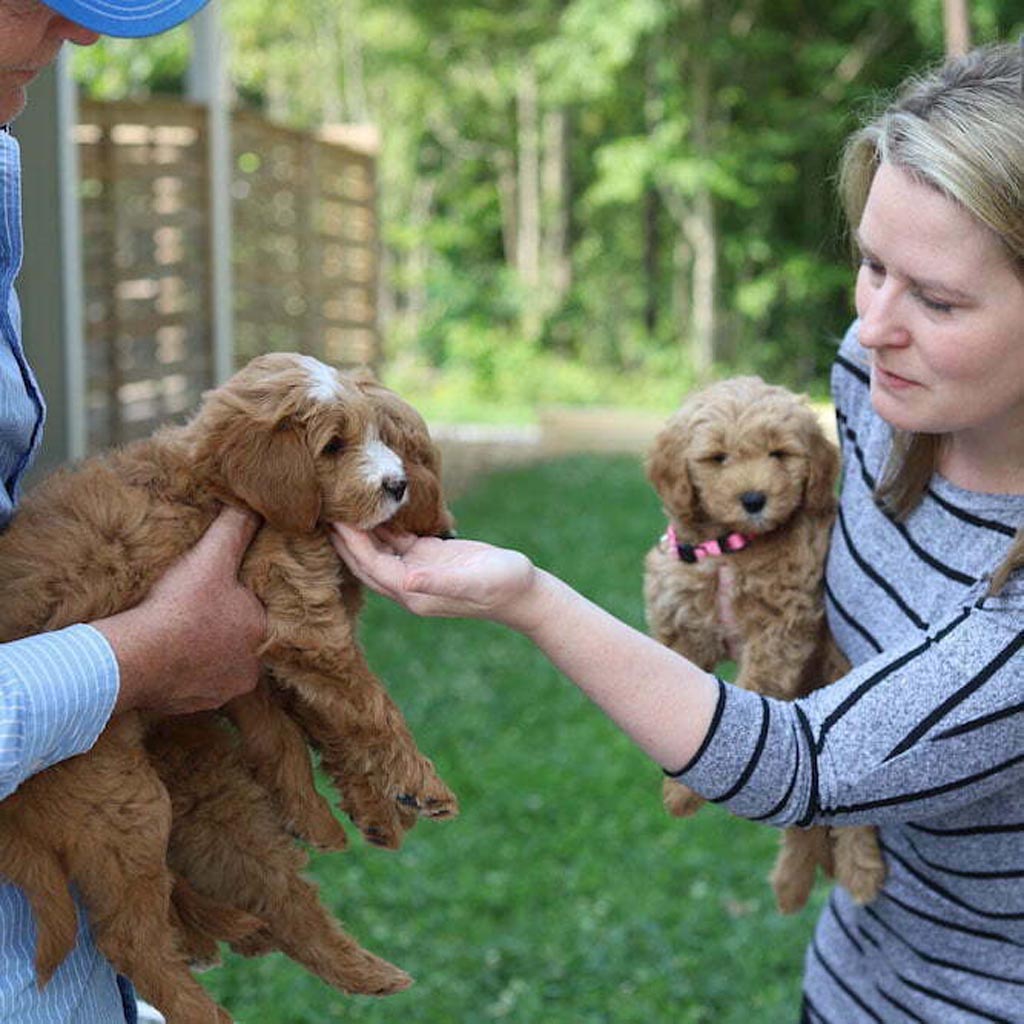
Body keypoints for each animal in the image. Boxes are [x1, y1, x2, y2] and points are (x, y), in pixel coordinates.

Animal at [0, 354, 456, 1024]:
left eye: (383, 438)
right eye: (335, 445)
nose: (398, 487)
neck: (222, 488)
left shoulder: (267, 664)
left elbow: (316, 731)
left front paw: (369, 810)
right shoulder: (298, 624)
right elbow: (369, 708)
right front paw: (420, 786)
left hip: (196, 798)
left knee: (263, 892)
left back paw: (351, 961)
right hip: (120, 804)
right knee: (129, 937)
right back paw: (207, 1005)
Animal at [643, 374, 884, 913]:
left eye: (779, 453)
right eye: (718, 458)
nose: (754, 499)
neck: (734, 547)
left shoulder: (783, 624)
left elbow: (752, 686)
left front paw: (684, 793)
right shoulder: (683, 620)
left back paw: (860, 874)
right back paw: (791, 885)